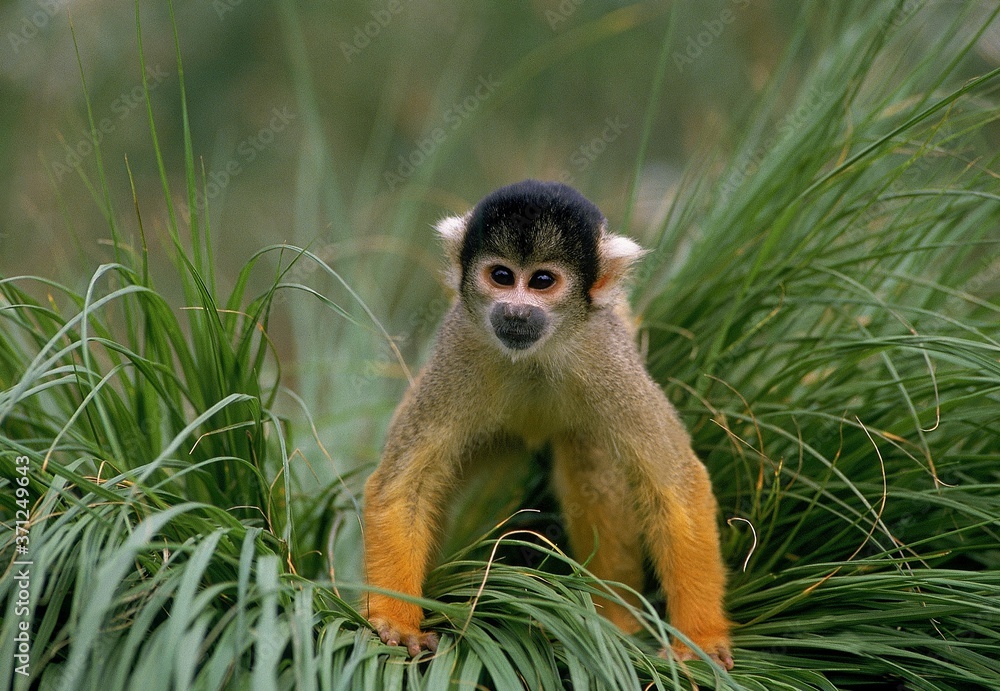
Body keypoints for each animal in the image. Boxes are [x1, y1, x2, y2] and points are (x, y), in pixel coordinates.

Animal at [362, 180, 733, 669]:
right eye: (502, 276)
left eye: (542, 281)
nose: (516, 312)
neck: (533, 356)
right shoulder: (459, 348)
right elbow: (404, 486)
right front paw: (397, 620)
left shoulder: (607, 354)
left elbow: (676, 485)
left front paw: (700, 640)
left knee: (592, 469)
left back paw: (613, 618)